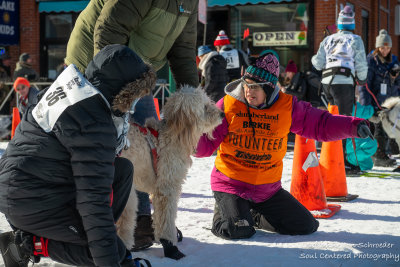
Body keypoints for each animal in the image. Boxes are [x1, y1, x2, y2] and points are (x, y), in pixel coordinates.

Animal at [118, 86, 225, 260]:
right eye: (204, 107)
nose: (222, 114)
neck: (172, 134)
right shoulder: (167, 188)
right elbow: (166, 219)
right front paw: (170, 246)